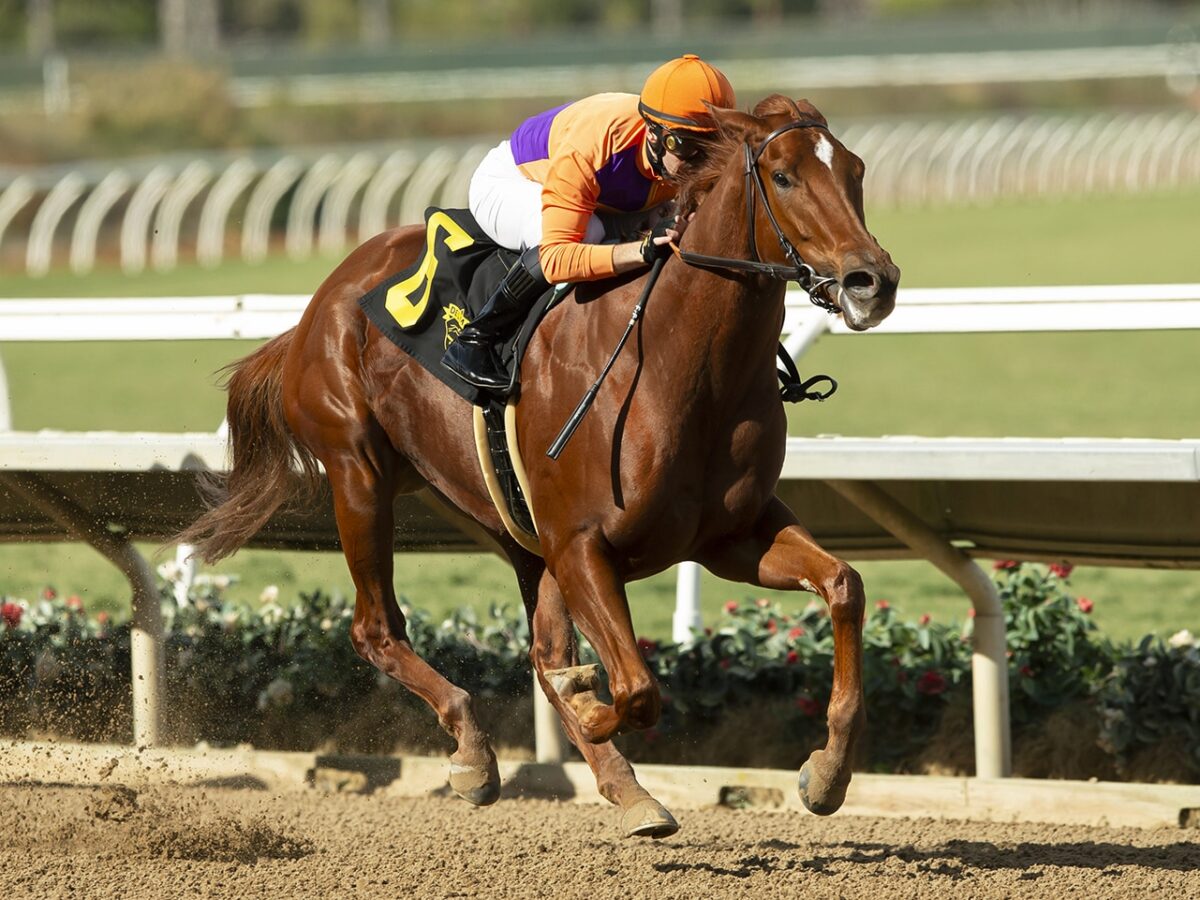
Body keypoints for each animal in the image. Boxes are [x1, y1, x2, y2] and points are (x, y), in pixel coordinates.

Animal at [180, 97, 902, 840]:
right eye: (783, 176)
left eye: (855, 170)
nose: (871, 282)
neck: (684, 366)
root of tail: (320, 303)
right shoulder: (581, 543)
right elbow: (636, 688)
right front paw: (586, 706)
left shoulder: (729, 535)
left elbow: (844, 586)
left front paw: (827, 773)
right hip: (360, 474)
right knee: (378, 628)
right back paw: (475, 753)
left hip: (507, 523)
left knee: (543, 648)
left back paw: (621, 786)